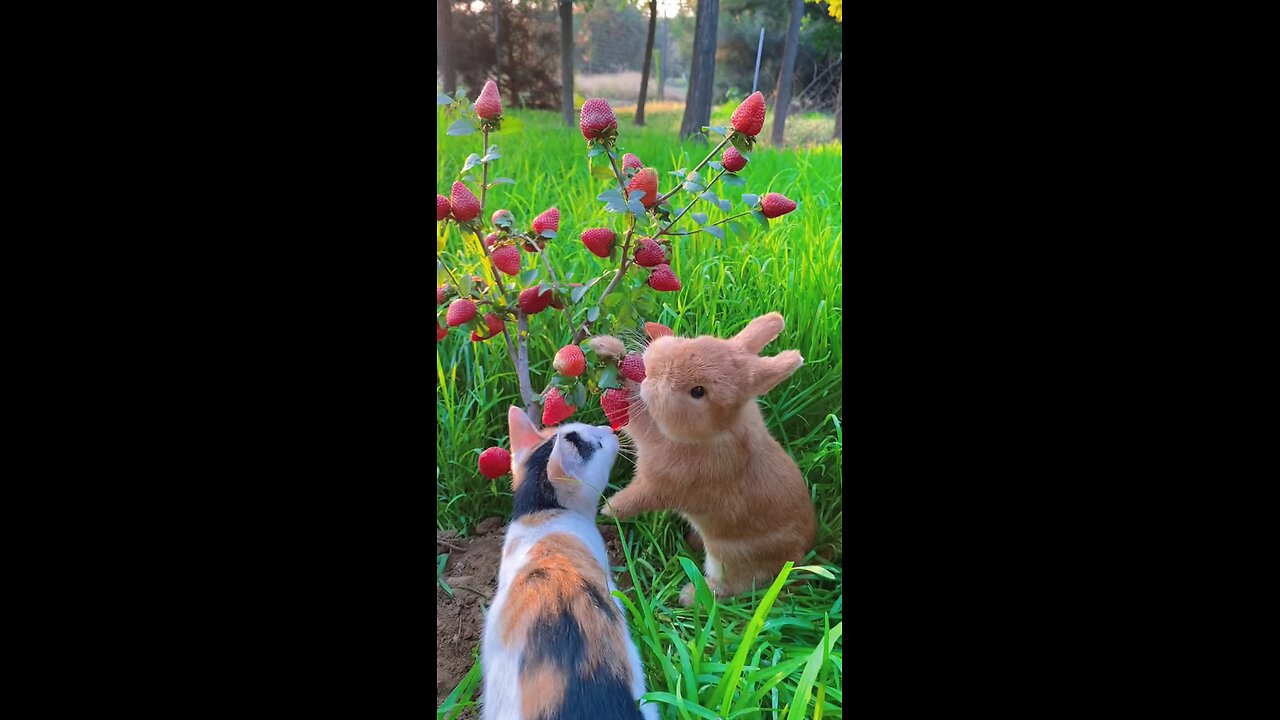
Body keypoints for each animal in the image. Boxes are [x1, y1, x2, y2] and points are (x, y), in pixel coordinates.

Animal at [591, 311, 814, 602]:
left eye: (698, 391)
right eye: (699, 340)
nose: (654, 368)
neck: (713, 432)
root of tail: (796, 557)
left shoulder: (661, 482)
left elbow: (635, 494)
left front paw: (609, 509)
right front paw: (606, 347)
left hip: (728, 557)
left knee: (736, 585)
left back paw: (690, 595)